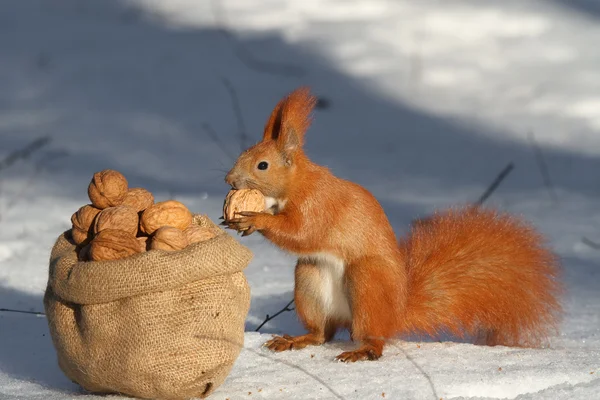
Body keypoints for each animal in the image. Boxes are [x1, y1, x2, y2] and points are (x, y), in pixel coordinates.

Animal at [224, 87, 564, 362]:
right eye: (243, 154)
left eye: (262, 165)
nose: (228, 180)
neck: (296, 184)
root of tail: (397, 313)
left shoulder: (319, 204)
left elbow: (301, 233)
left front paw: (255, 219)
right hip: (310, 278)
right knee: (322, 334)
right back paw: (297, 340)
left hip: (367, 280)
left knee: (373, 336)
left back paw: (363, 351)